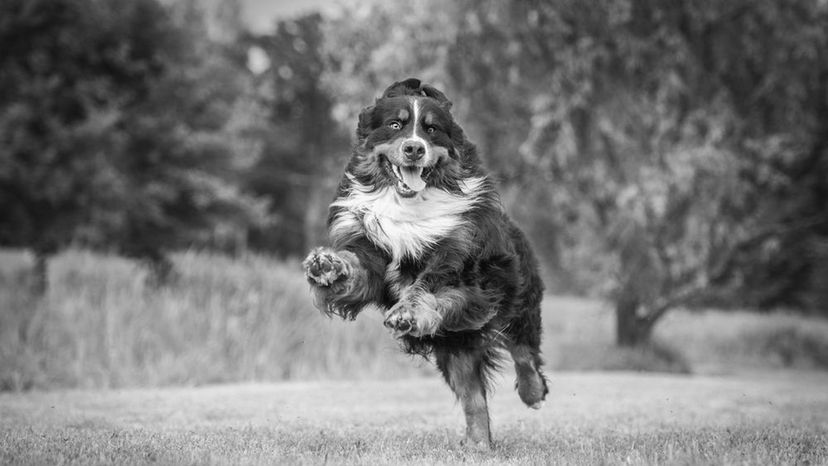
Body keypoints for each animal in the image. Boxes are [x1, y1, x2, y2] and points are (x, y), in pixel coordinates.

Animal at [300, 78, 548, 450]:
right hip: (454, 346)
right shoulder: (372, 252)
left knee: (524, 350)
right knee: (474, 399)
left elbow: (429, 285)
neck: (409, 203)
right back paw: (478, 446)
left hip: (516, 295)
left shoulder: (463, 269)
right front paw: (328, 265)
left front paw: (407, 313)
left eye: (431, 129)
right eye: (395, 125)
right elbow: (357, 266)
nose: (414, 149)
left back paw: (533, 393)